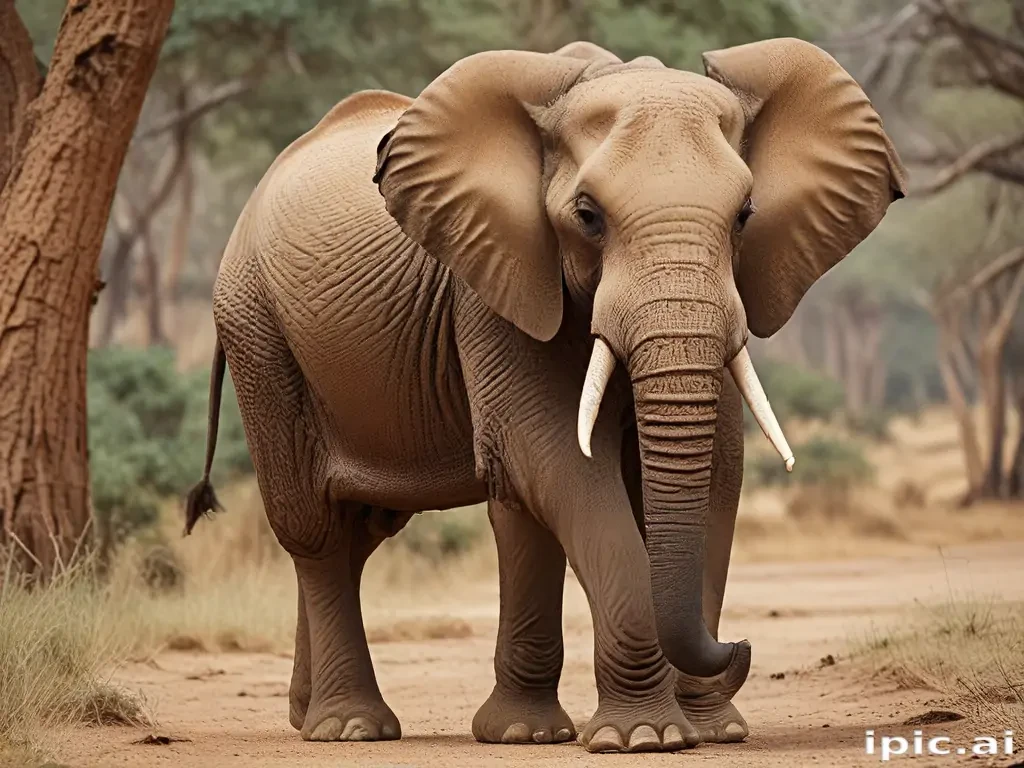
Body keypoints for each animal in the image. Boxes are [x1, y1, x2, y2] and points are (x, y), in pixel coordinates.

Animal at [185, 37, 905, 753]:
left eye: (745, 216)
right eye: (588, 217)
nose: (741, 646)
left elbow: (717, 469)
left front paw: (711, 731)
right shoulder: (493, 281)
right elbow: (557, 459)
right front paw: (644, 737)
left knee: (368, 531)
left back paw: (316, 715)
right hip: (257, 332)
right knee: (317, 532)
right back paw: (351, 727)